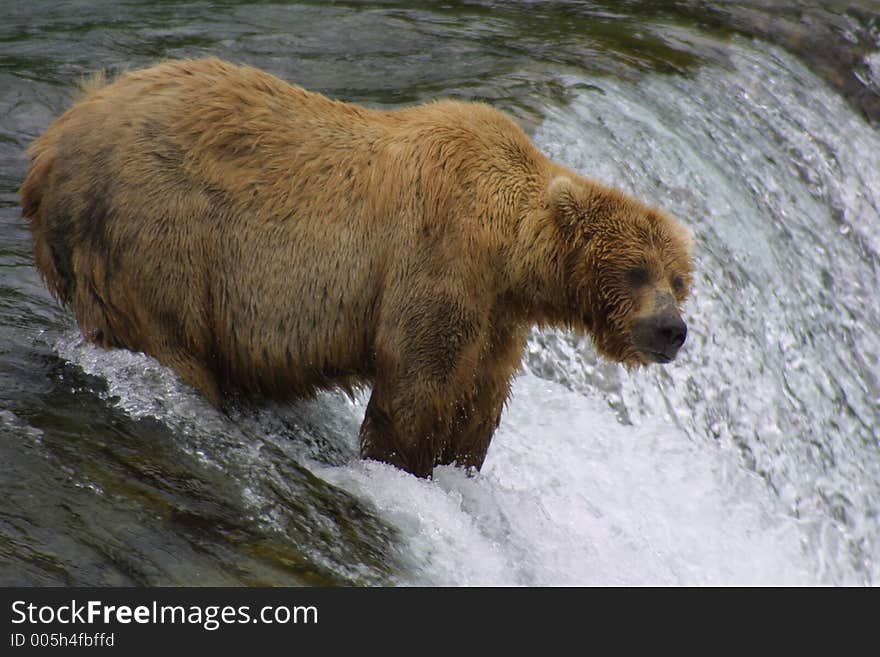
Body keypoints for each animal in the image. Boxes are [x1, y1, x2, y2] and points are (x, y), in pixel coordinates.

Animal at [20, 57, 696, 476]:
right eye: (636, 270)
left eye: (679, 279)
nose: (671, 329)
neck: (507, 255)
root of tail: (49, 144)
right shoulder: (435, 257)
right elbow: (417, 383)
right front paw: (403, 465)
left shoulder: (498, 315)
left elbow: (479, 398)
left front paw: (459, 465)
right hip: (157, 232)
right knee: (171, 338)